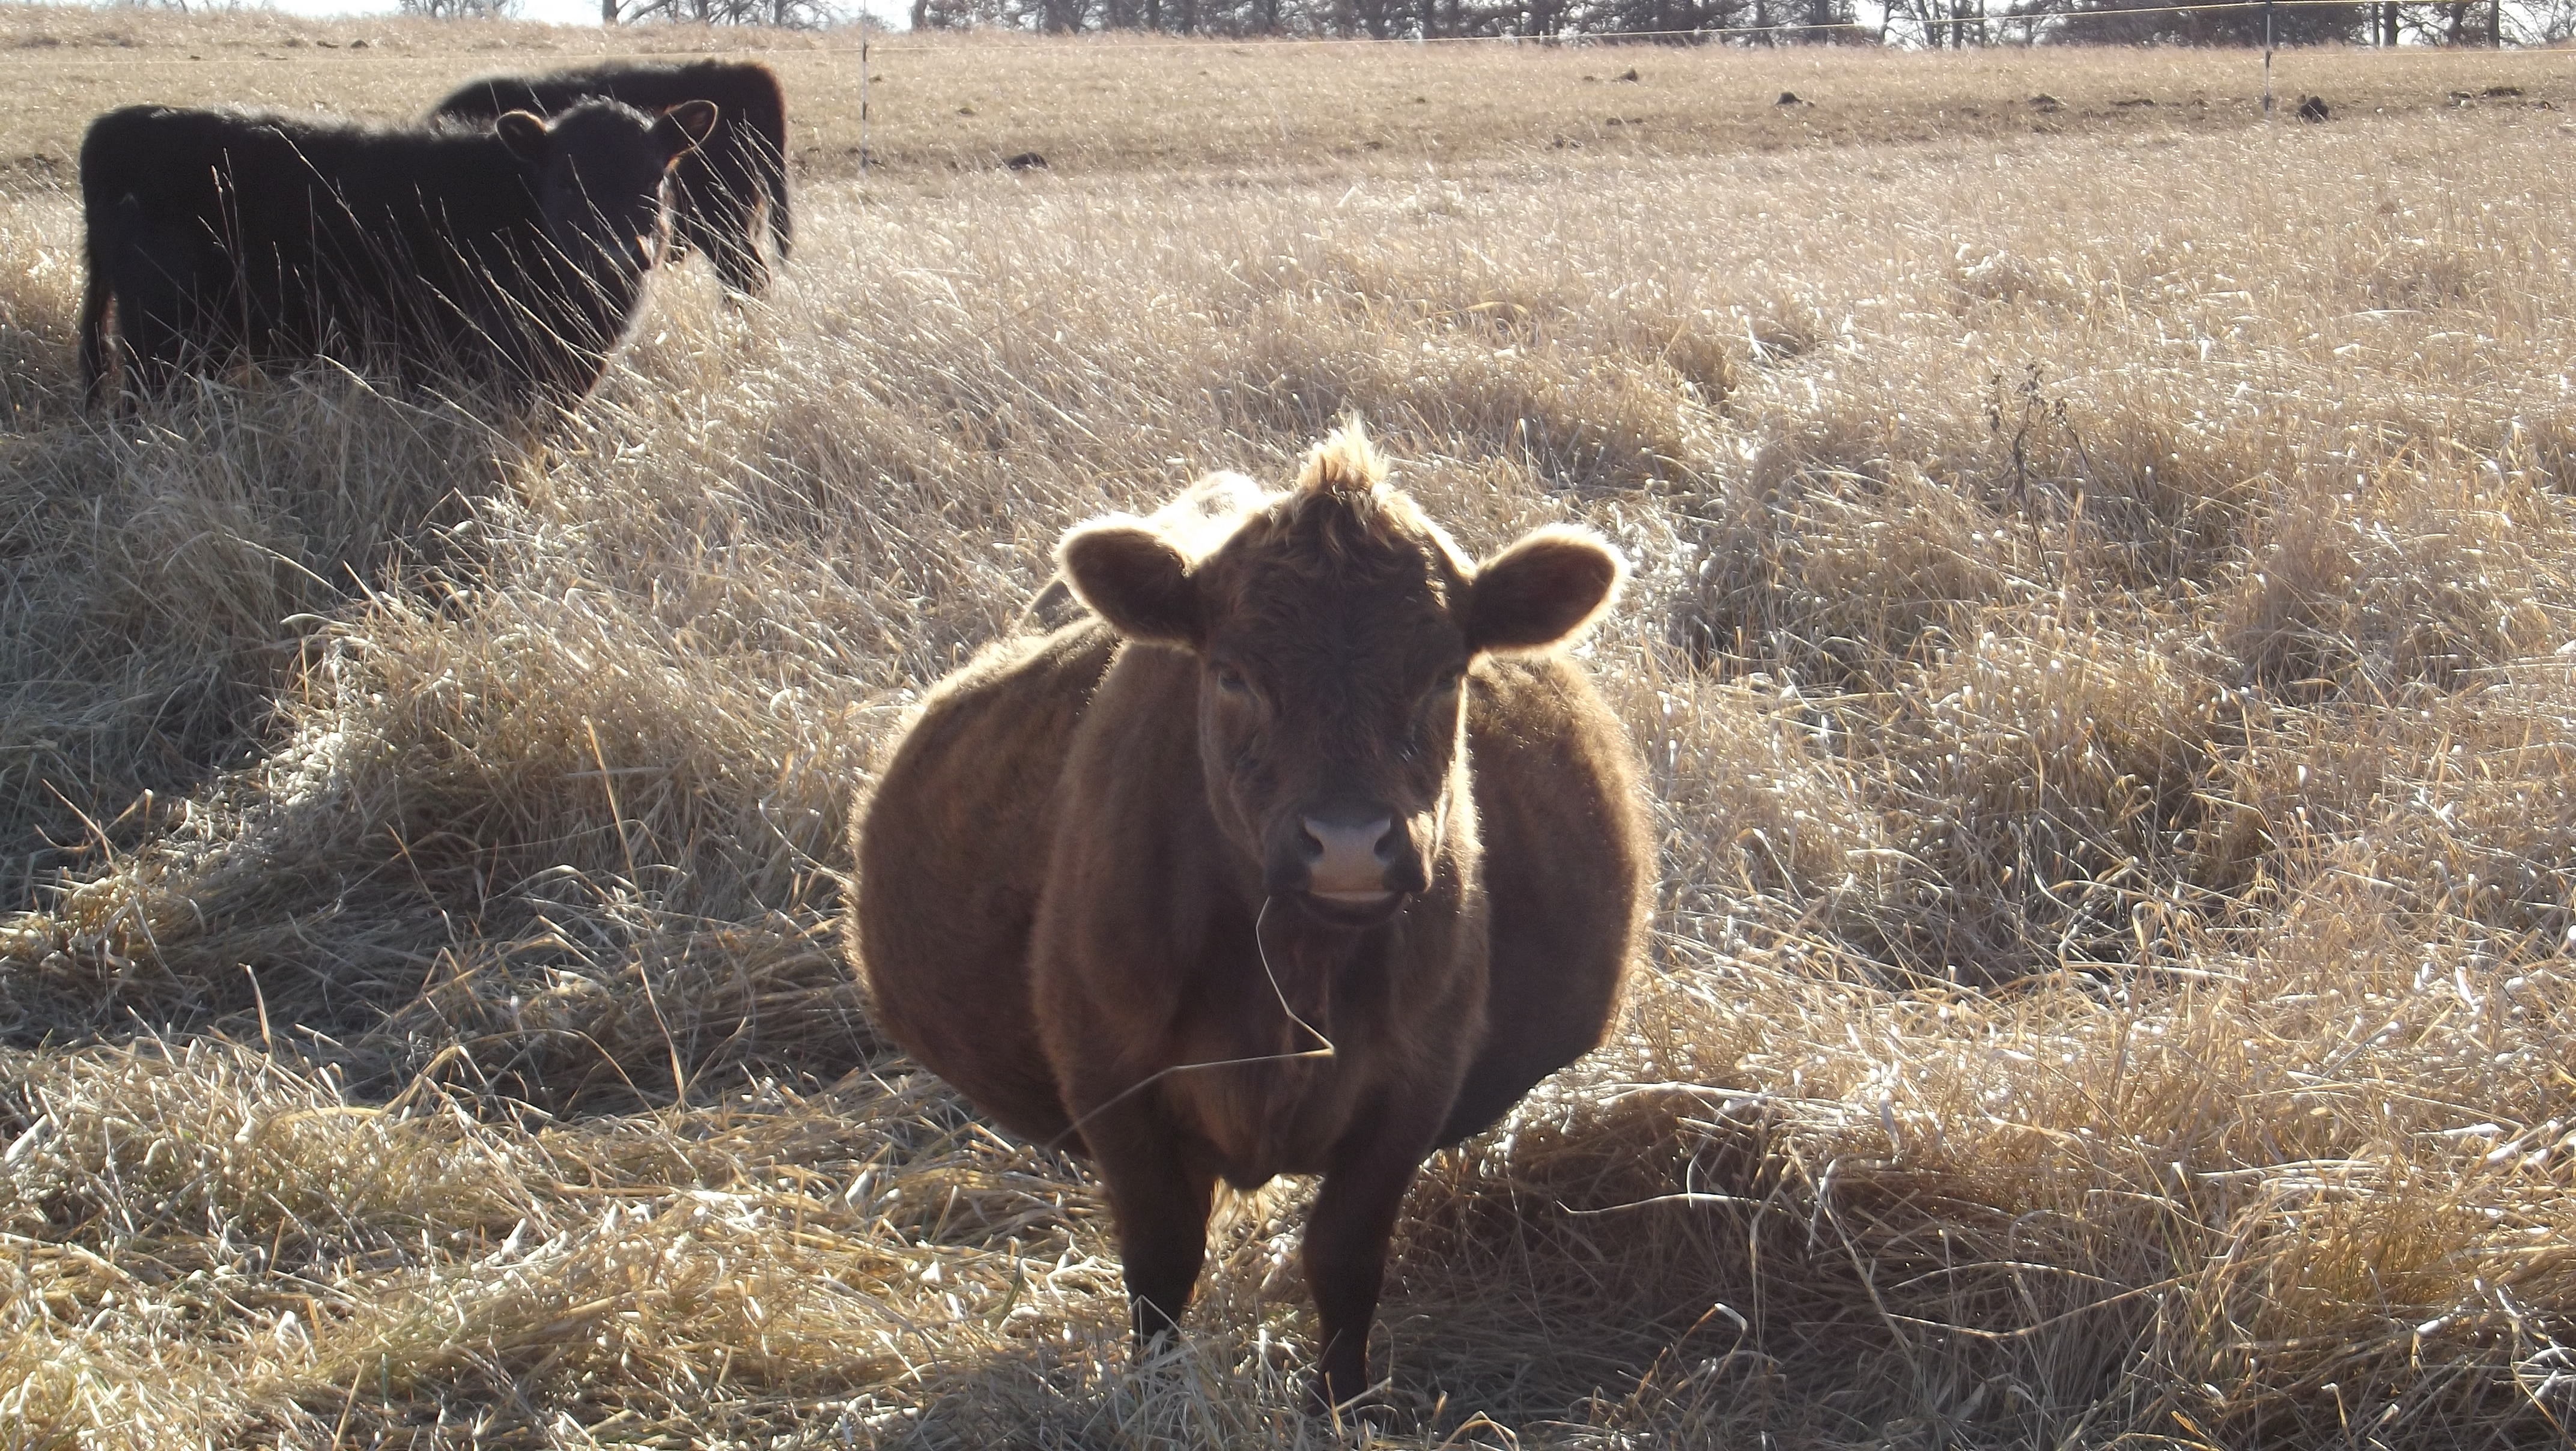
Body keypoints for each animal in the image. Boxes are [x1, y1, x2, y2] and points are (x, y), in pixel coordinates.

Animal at [849, 423, 1652, 1411]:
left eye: (1443, 675)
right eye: (1231, 674)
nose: (1348, 845)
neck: (1293, 975)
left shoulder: (1413, 1086)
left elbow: (1344, 1259)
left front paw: (1340, 1405)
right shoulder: (1111, 1078)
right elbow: (1160, 1258)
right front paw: (1154, 1395)